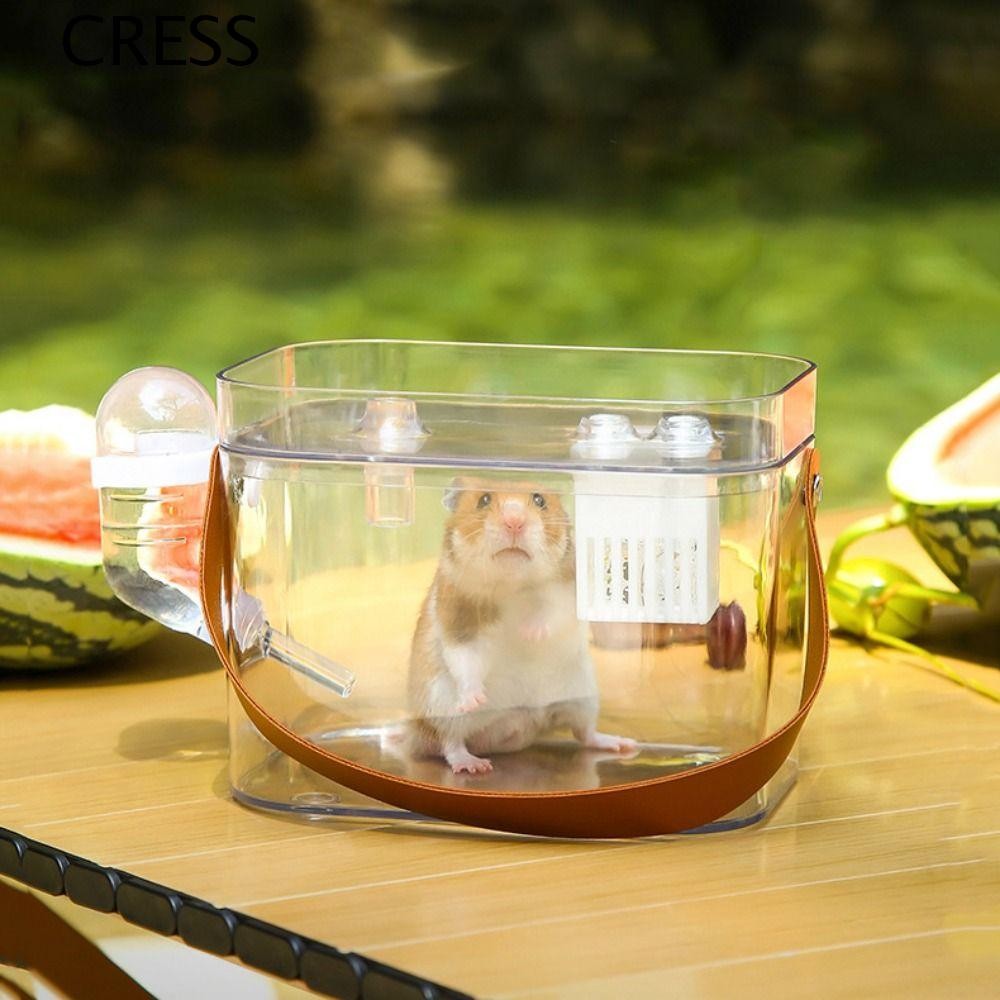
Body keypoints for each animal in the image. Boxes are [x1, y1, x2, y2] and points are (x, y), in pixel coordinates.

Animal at [407, 477, 636, 775]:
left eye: (539, 500)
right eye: (484, 500)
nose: (514, 522)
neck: (512, 583)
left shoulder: (568, 591)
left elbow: (551, 611)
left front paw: (529, 633)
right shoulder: (458, 617)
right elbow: (466, 658)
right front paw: (475, 699)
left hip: (584, 699)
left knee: (585, 733)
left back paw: (624, 744)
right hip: (441, 709)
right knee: (450, 743)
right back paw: (475, 765)